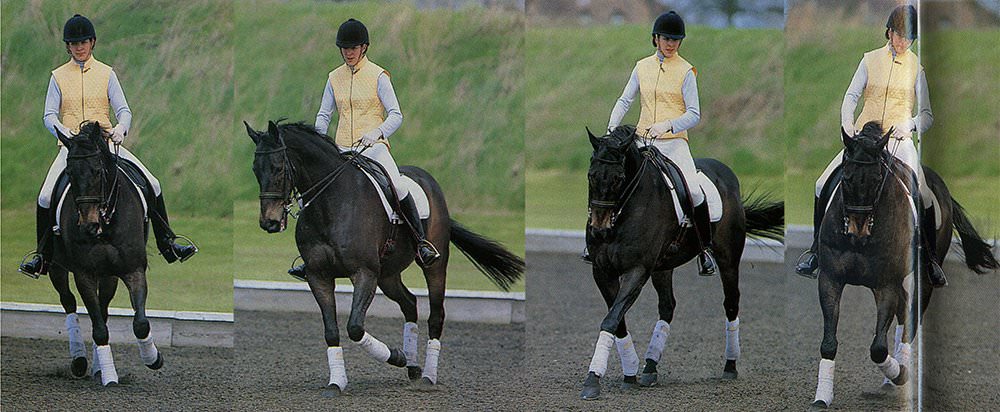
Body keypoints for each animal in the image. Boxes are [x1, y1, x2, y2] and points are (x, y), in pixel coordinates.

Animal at [47, 121, 164, 386]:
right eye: (70, 173)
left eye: (98, 171)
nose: (88, 226)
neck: (106, 223)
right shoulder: (84, 275)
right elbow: (99, 328)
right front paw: (110, 377)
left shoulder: (133, 269)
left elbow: (140, 324)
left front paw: (153, 359)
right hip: (57, 268)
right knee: (69, 302)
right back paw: (80, 361)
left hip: (109, 275)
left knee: (103, 308)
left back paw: (97, 367)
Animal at [244, 120, 524, 394]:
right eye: (255, 170)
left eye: (279, 168)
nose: (269, 222)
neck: (331, 204)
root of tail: (427, 179)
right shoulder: (318, 275)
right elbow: (331, 331)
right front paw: (337, 382)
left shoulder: (364, 273)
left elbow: (355, 327)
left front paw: (396, 357)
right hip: (387, 275)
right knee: (410, 303)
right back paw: (412, 366)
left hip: (433, 265)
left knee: (436, 315)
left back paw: (427, 376)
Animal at [580, 125, 784, 400]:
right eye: (591, 175)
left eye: (618, 178)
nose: (600, 229)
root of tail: (726, 173)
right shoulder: (602, 271)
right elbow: (617, 319)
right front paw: (630, 372)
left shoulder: (637, 270)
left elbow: (612, 319)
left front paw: (593, 379)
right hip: (663, 268)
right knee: (668, 306)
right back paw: (650, 367)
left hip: (728, 260)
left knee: (731, 304)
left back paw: (730, 366)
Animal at [810, 122, 998, 408]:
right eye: (847, 178)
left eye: (877, 179)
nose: (857, 230)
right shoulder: (830, 279)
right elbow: (829, 342)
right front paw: (822, 397)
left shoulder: (885, 285)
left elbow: (878, 349)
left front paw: (899, 373)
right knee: (902, 315)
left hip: (924, 278)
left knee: (911, 320)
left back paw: (902, 371)